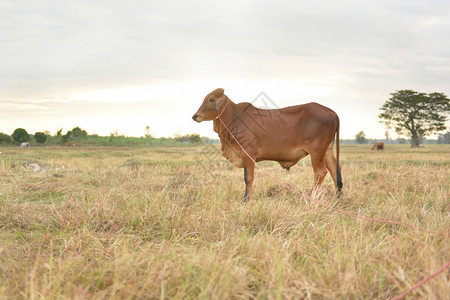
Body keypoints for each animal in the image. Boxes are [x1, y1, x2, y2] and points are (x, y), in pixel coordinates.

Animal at [192, 89, 342, 202]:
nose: (195, 116)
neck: (234, 117)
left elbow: (248, 178)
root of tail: (332, 112)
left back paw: (311, 197)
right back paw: (338, 198)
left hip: (316, 151)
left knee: (320, 172)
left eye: (211, 99)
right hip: (327, 150)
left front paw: (246, 199)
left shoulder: (248, 154)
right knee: (335, 170)